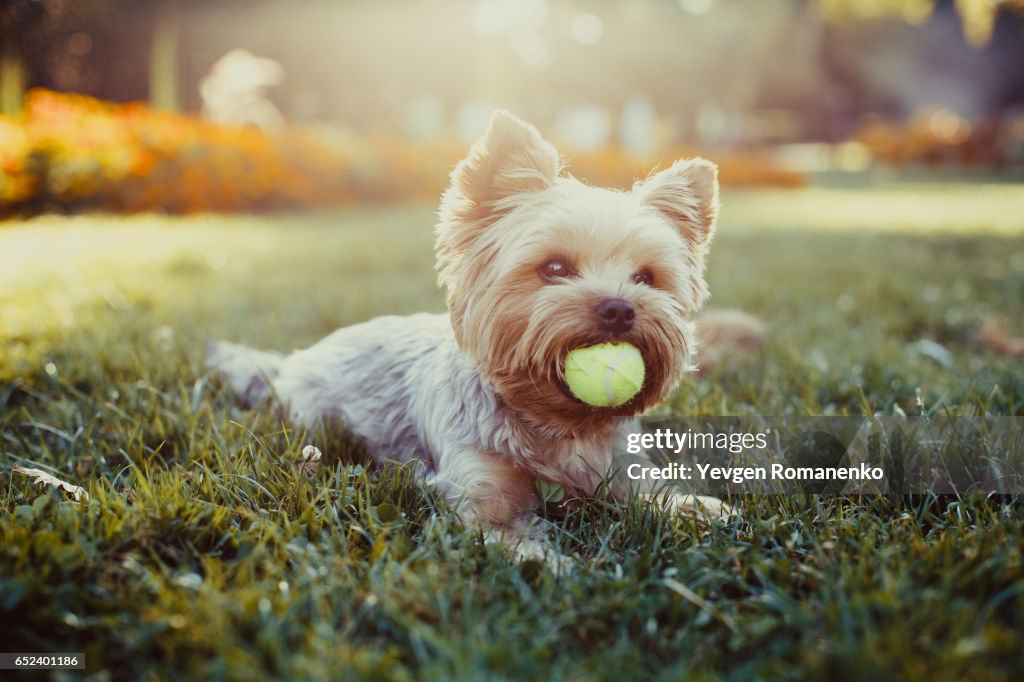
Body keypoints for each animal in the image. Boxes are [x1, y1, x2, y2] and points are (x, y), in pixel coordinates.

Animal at [207, 110, 737, 561]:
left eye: (646, 278)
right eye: (554, 268)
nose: (619, 308)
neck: (557, 424)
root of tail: (296, 357)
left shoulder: (623, 471)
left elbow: (656, 494)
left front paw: (700, 510)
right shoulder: (479, 495)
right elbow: (511, 539)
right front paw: (556, 569)